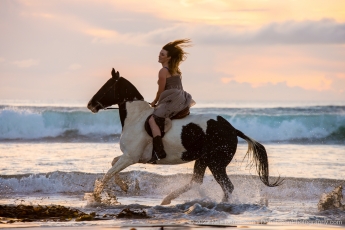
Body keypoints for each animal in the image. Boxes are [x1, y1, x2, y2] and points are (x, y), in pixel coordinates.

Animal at [87, 68, 280, 205]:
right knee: (197, 181)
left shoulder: (130, 157)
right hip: (204, 160)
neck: (136, 117)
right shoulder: (129, 156)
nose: (90, 105)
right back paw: (169, 199)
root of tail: (232, 129)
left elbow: (108, 173)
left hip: (215, 163)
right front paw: (123, 186)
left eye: (107, 86)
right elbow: (112, 164)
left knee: (226, 186)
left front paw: (95, 196)